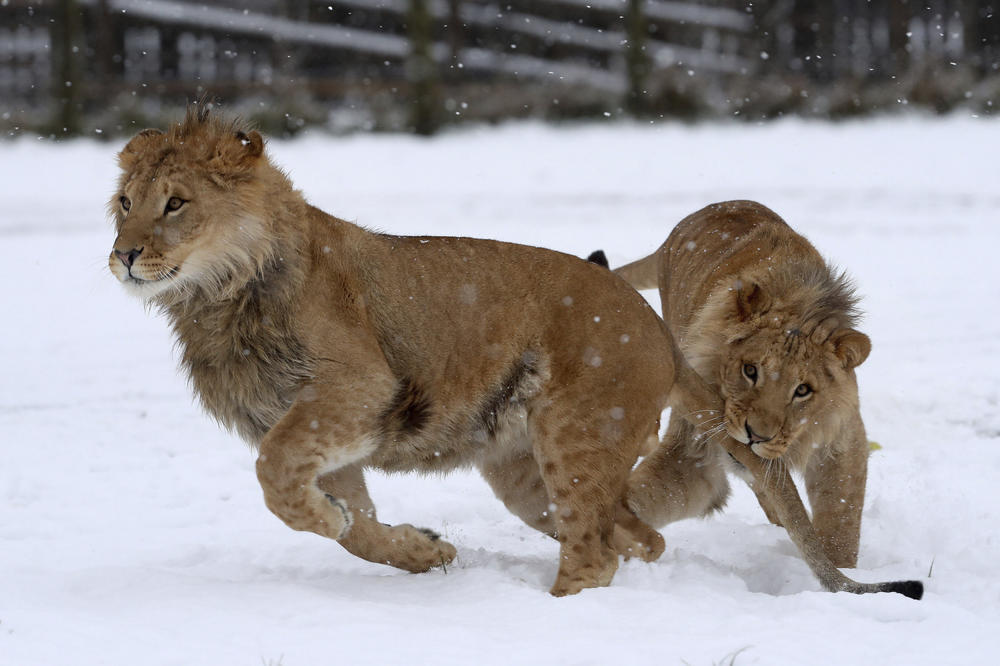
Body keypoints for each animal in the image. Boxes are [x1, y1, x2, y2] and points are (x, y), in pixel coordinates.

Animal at [107, 106, 744, 592]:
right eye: (125, 203)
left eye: (175, 203)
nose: (125, 256)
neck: (215, 300)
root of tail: (658, 329)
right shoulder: (328, 428)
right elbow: (358, 527)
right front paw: (419, 549)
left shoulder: (355, 389)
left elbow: (274, 475)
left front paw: (328, 520)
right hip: (525, 479)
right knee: (641, 538)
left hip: (578, 437)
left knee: (596, 553)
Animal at [604, 197, 872, 564]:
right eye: (750, 370)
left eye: (803, 390)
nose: (755, 436)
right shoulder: (692, 447)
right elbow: (636, 496)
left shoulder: (842, 439)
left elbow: (840, 522)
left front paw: (842, 570)